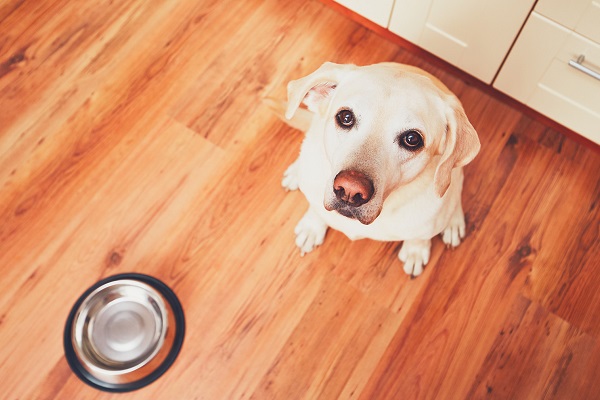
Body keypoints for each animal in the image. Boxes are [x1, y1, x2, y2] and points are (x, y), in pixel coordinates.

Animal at [274, 62, 480, 276]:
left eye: (412, 139)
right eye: (345, 117)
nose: (350, 190)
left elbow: (420, 237)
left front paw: (415, 251)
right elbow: (316, 210)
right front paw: (312, 227)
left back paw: (454, 222)